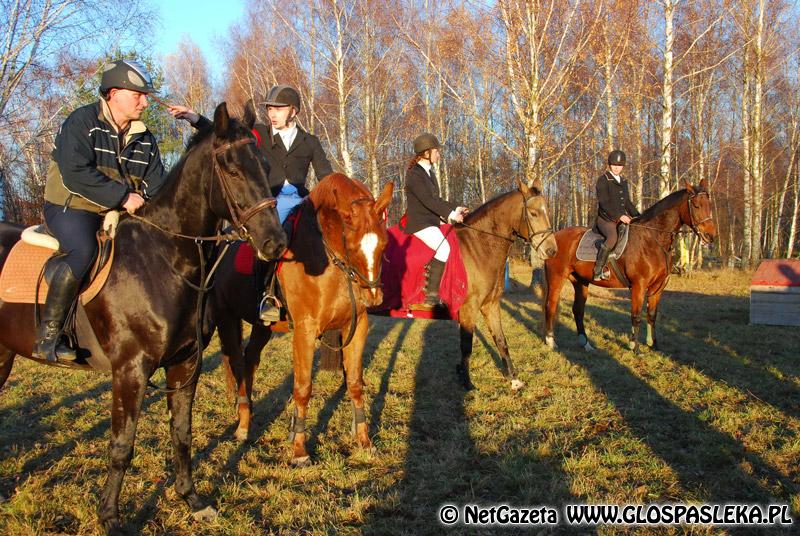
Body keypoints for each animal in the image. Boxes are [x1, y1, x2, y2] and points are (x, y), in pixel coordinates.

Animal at [0, 102, 287, 533]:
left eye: (265, 166)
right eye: (232, 169)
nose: (276, 243)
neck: (165, 259)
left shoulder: (185, 364)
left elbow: (181, 433)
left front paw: (191, 499)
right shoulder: (130, 371)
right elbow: (122, 446)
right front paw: (110, 517)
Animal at [212, 173, 393, 465]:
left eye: (384, 243)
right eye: (352, 245)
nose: (373, 297)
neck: (328, 257)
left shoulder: (357, 328)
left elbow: (355, 384)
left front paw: (364, 442)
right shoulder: (304, 331)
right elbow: (303, 388)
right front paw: (299, 449)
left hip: (263, 327)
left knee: (250, 360)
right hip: (225, 318)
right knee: (237, 363)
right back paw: (241, 426)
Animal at [542, 179, 717, 354]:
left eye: (709, 204)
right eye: (696, 205)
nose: (710, 236)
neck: (652, 239)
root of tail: (553, 238)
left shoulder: (658, 287)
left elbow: (652, 315)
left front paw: (654, 345)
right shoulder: (639, 285)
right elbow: (636, 315)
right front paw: (635, 347)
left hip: (580, 282)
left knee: (578, 310)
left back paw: (586, 344)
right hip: (557, 277)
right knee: (551, 305)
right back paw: (551, 341)